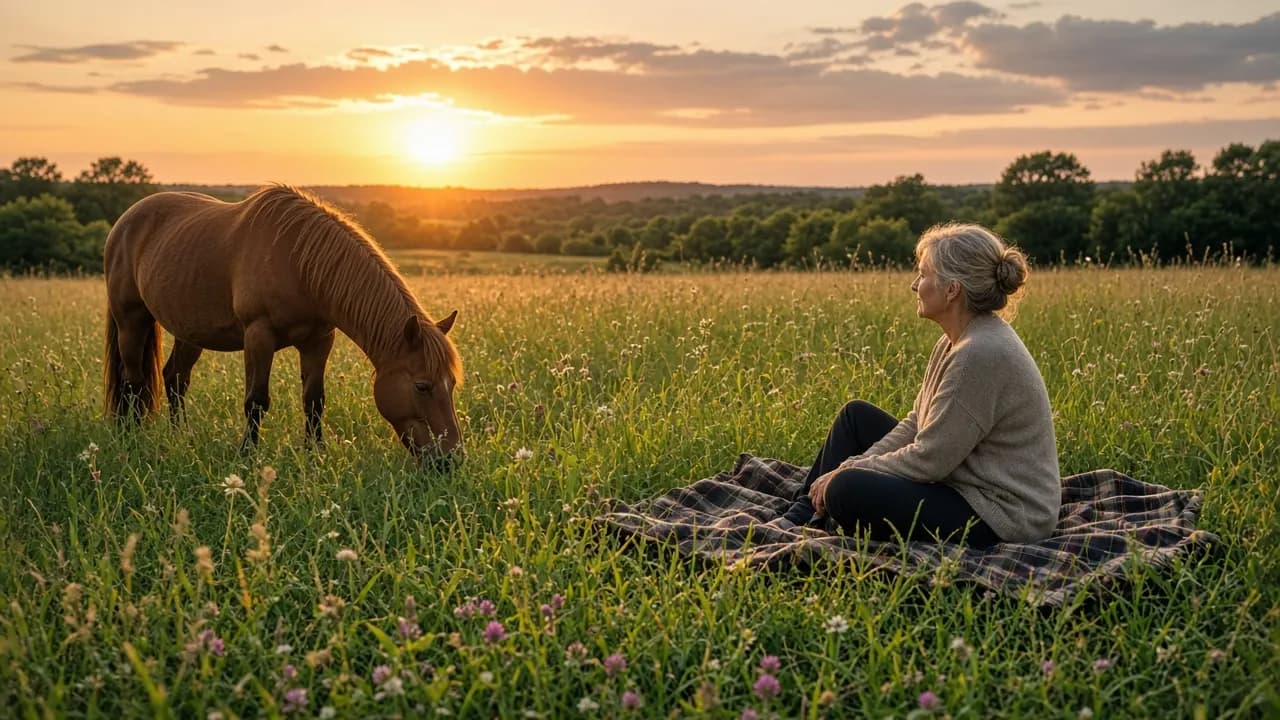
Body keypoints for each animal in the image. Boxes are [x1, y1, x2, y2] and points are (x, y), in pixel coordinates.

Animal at [102, 184, 464, 464]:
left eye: (452, 384)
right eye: (422, 386)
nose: (451, 459)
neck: (299, 263)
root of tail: (125, 221)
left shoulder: (319, 340)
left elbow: (314, 400)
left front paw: (316, 454)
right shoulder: (258, 336)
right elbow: (256, 401)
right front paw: (248, 455)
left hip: (189, 332)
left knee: (175, 379)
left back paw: (181, 436)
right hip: (131, 321)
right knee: (133, 382)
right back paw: (132, 435)